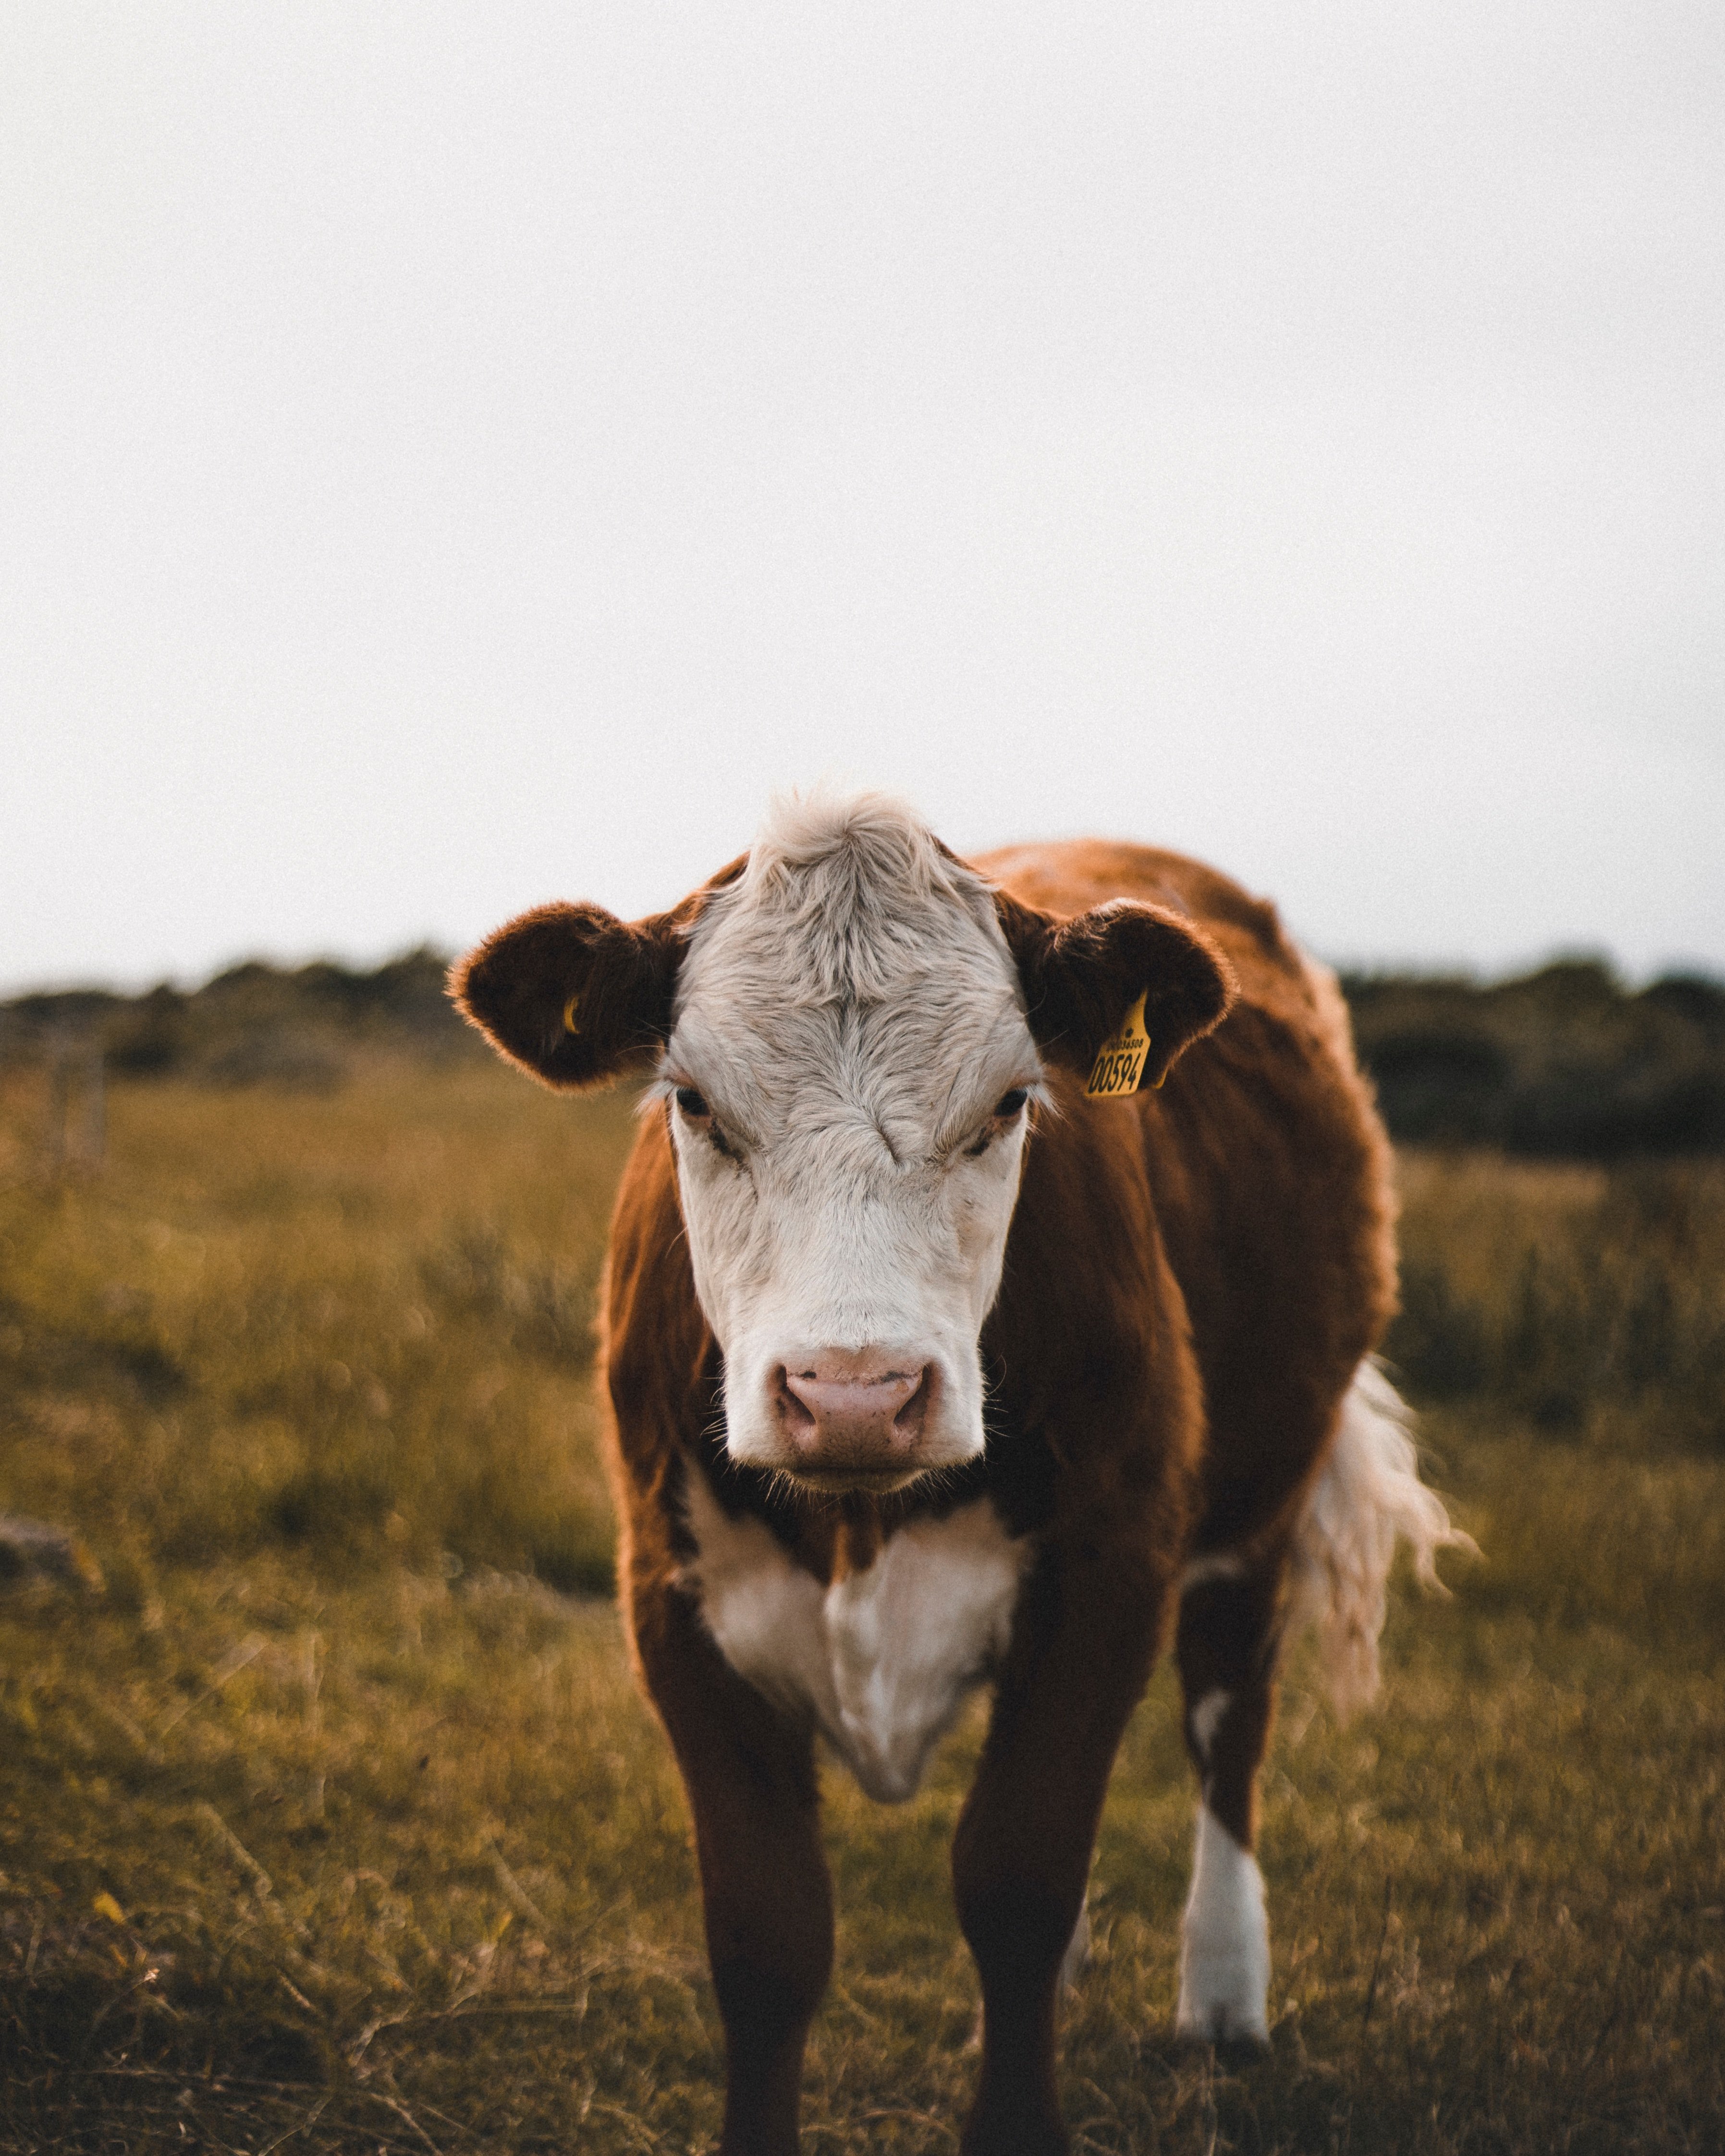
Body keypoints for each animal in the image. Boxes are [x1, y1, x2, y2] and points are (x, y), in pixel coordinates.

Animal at [448, 793, 1466, 2156]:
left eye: (1009, 1102)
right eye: (695, 1102)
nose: (853, 1394)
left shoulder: (1112, 1567)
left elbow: (1018, 1880)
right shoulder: (670, 1594)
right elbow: (768, 1933)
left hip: (1262, 1496)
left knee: (1227, 1720)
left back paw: (1221, 1993)